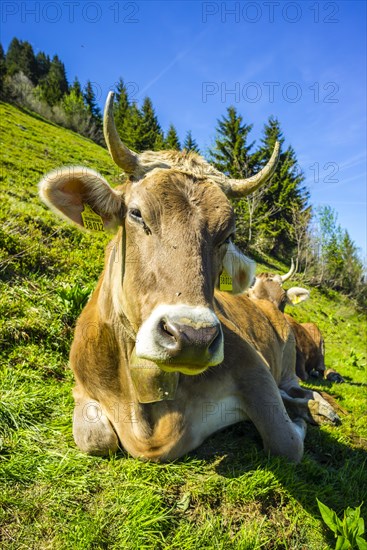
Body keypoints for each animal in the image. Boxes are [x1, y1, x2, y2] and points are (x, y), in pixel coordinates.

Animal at [38, 92, 340, 464]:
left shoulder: (255, 368)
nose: (193, 336)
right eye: (136, 213)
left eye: (227, 234)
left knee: (297, 387)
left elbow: (286, 443)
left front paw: (301, 418)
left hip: (286, 366)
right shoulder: (81, 387)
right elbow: (96, 439)